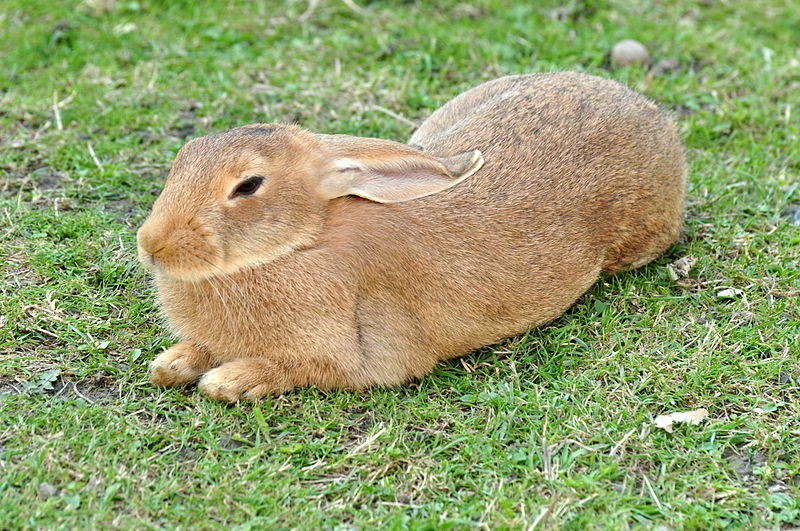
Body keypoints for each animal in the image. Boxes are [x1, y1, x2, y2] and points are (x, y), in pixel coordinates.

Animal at [137, 71, 686, 403]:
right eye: (184, 155)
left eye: (248, 185)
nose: (151, 246)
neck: (301, 243)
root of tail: (651, 113)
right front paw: (171, 365)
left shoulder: (349, 360)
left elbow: (291, 370)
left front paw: (226, 381)